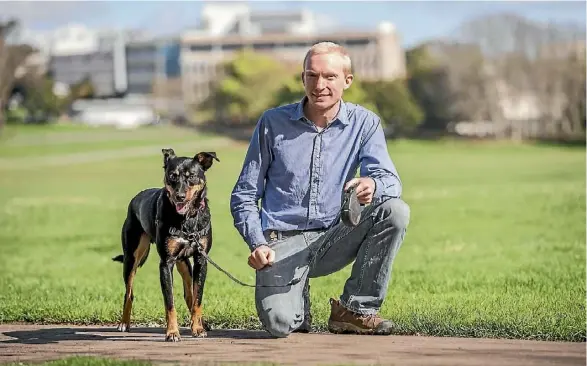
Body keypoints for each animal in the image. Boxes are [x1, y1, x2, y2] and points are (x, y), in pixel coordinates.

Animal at [112, 147, 218, 342]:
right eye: (172, 176)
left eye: (192, 176)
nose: (180, 196)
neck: (187, 219)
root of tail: (136, 198)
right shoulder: (166, 263)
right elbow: (170, 303)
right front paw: (172, 332)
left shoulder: (201, 260)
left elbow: (197, 298)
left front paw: (198, 328)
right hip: (132, 258)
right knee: (129, 293)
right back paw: (124, 323)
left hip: (184, 263)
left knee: (189, 295)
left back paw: (201, 323)